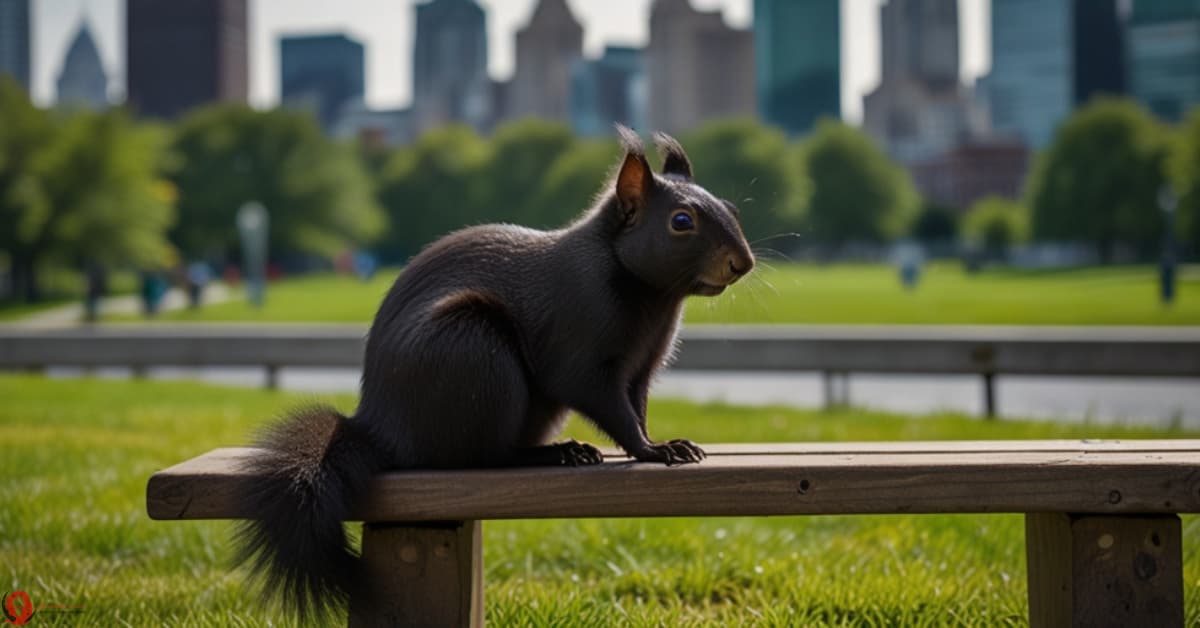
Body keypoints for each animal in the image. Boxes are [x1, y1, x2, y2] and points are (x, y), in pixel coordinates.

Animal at [231, 126, 748, 619]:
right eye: (681, 222)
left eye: (730, 207)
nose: (742, 263)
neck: (650, 293)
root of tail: (380, 429)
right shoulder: (581, 347)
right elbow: (603, 401)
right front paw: (653, 450)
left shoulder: (641, 368)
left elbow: (636, 406)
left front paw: (663, 442)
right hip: (475, 353)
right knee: (487, 454)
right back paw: (557, 453)